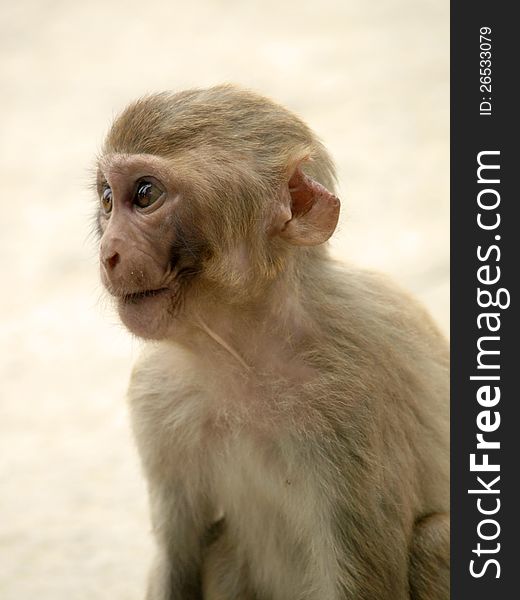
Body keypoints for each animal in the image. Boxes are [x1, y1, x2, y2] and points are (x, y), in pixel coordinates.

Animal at [95, 85, 448, 600]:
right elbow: (178, 557)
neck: (248, 353)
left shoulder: (353, 402)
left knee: (433, 539)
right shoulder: (156, 393)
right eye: (107, 199)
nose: (108, 253)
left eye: (145, 195)